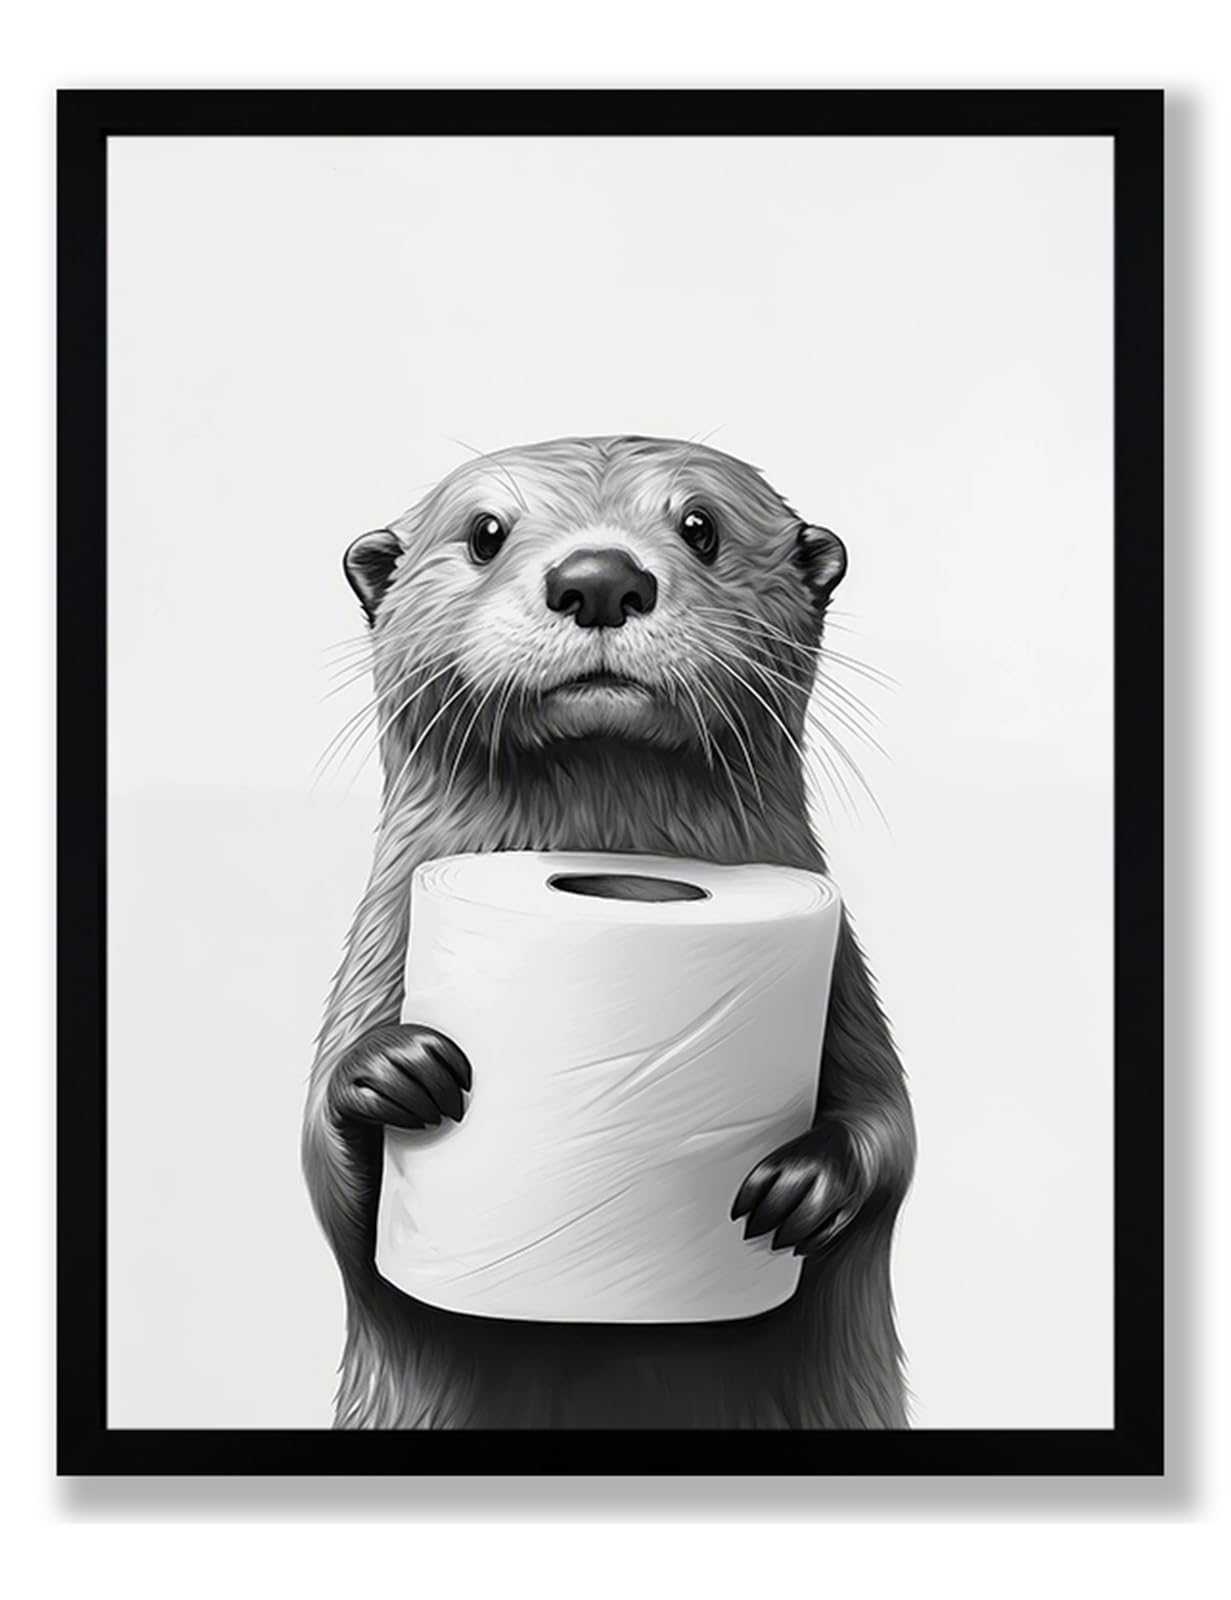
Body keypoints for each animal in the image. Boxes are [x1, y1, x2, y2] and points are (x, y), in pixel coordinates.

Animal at [302, 435, 915, 1429]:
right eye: (485, 532)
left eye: (700, 525)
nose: (598, 577)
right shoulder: (374, 954)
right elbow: (328, 1183)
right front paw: (391, 1070)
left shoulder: (844, 986)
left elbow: (892, 1132)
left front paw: (806, 1183)